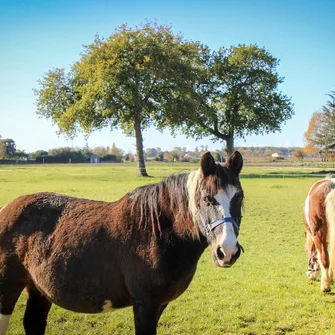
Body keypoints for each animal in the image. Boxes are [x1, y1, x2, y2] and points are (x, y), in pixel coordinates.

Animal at [0, 152, 244, 335]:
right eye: (207, 199)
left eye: (239, 197)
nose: (227, 251)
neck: (158, 232)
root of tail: (8, 209)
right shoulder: (145, 304)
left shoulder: (159, 304)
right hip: (7, 289)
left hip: (39, 289)